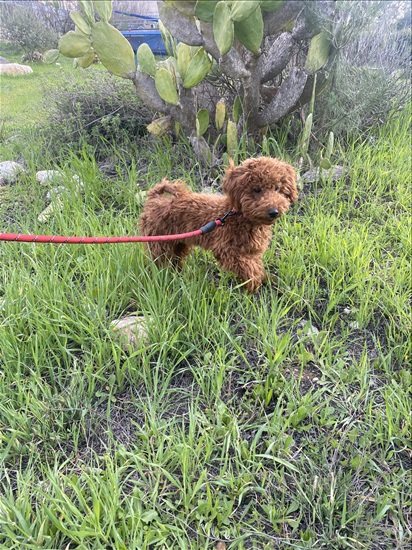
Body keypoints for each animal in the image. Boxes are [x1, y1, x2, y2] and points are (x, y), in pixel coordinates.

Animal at [138, 157, 296, 294]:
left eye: (277, 188)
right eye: (257, 189)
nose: (273, 211)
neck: (240, 216)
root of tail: (154, 199)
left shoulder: (251, 252)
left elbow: (255, 265)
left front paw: (265, 278)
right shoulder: (227, 250)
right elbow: (249, 268)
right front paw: (253, 285)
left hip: (177, 242)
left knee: (175, 260)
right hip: (158, 242)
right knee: (158, 263)